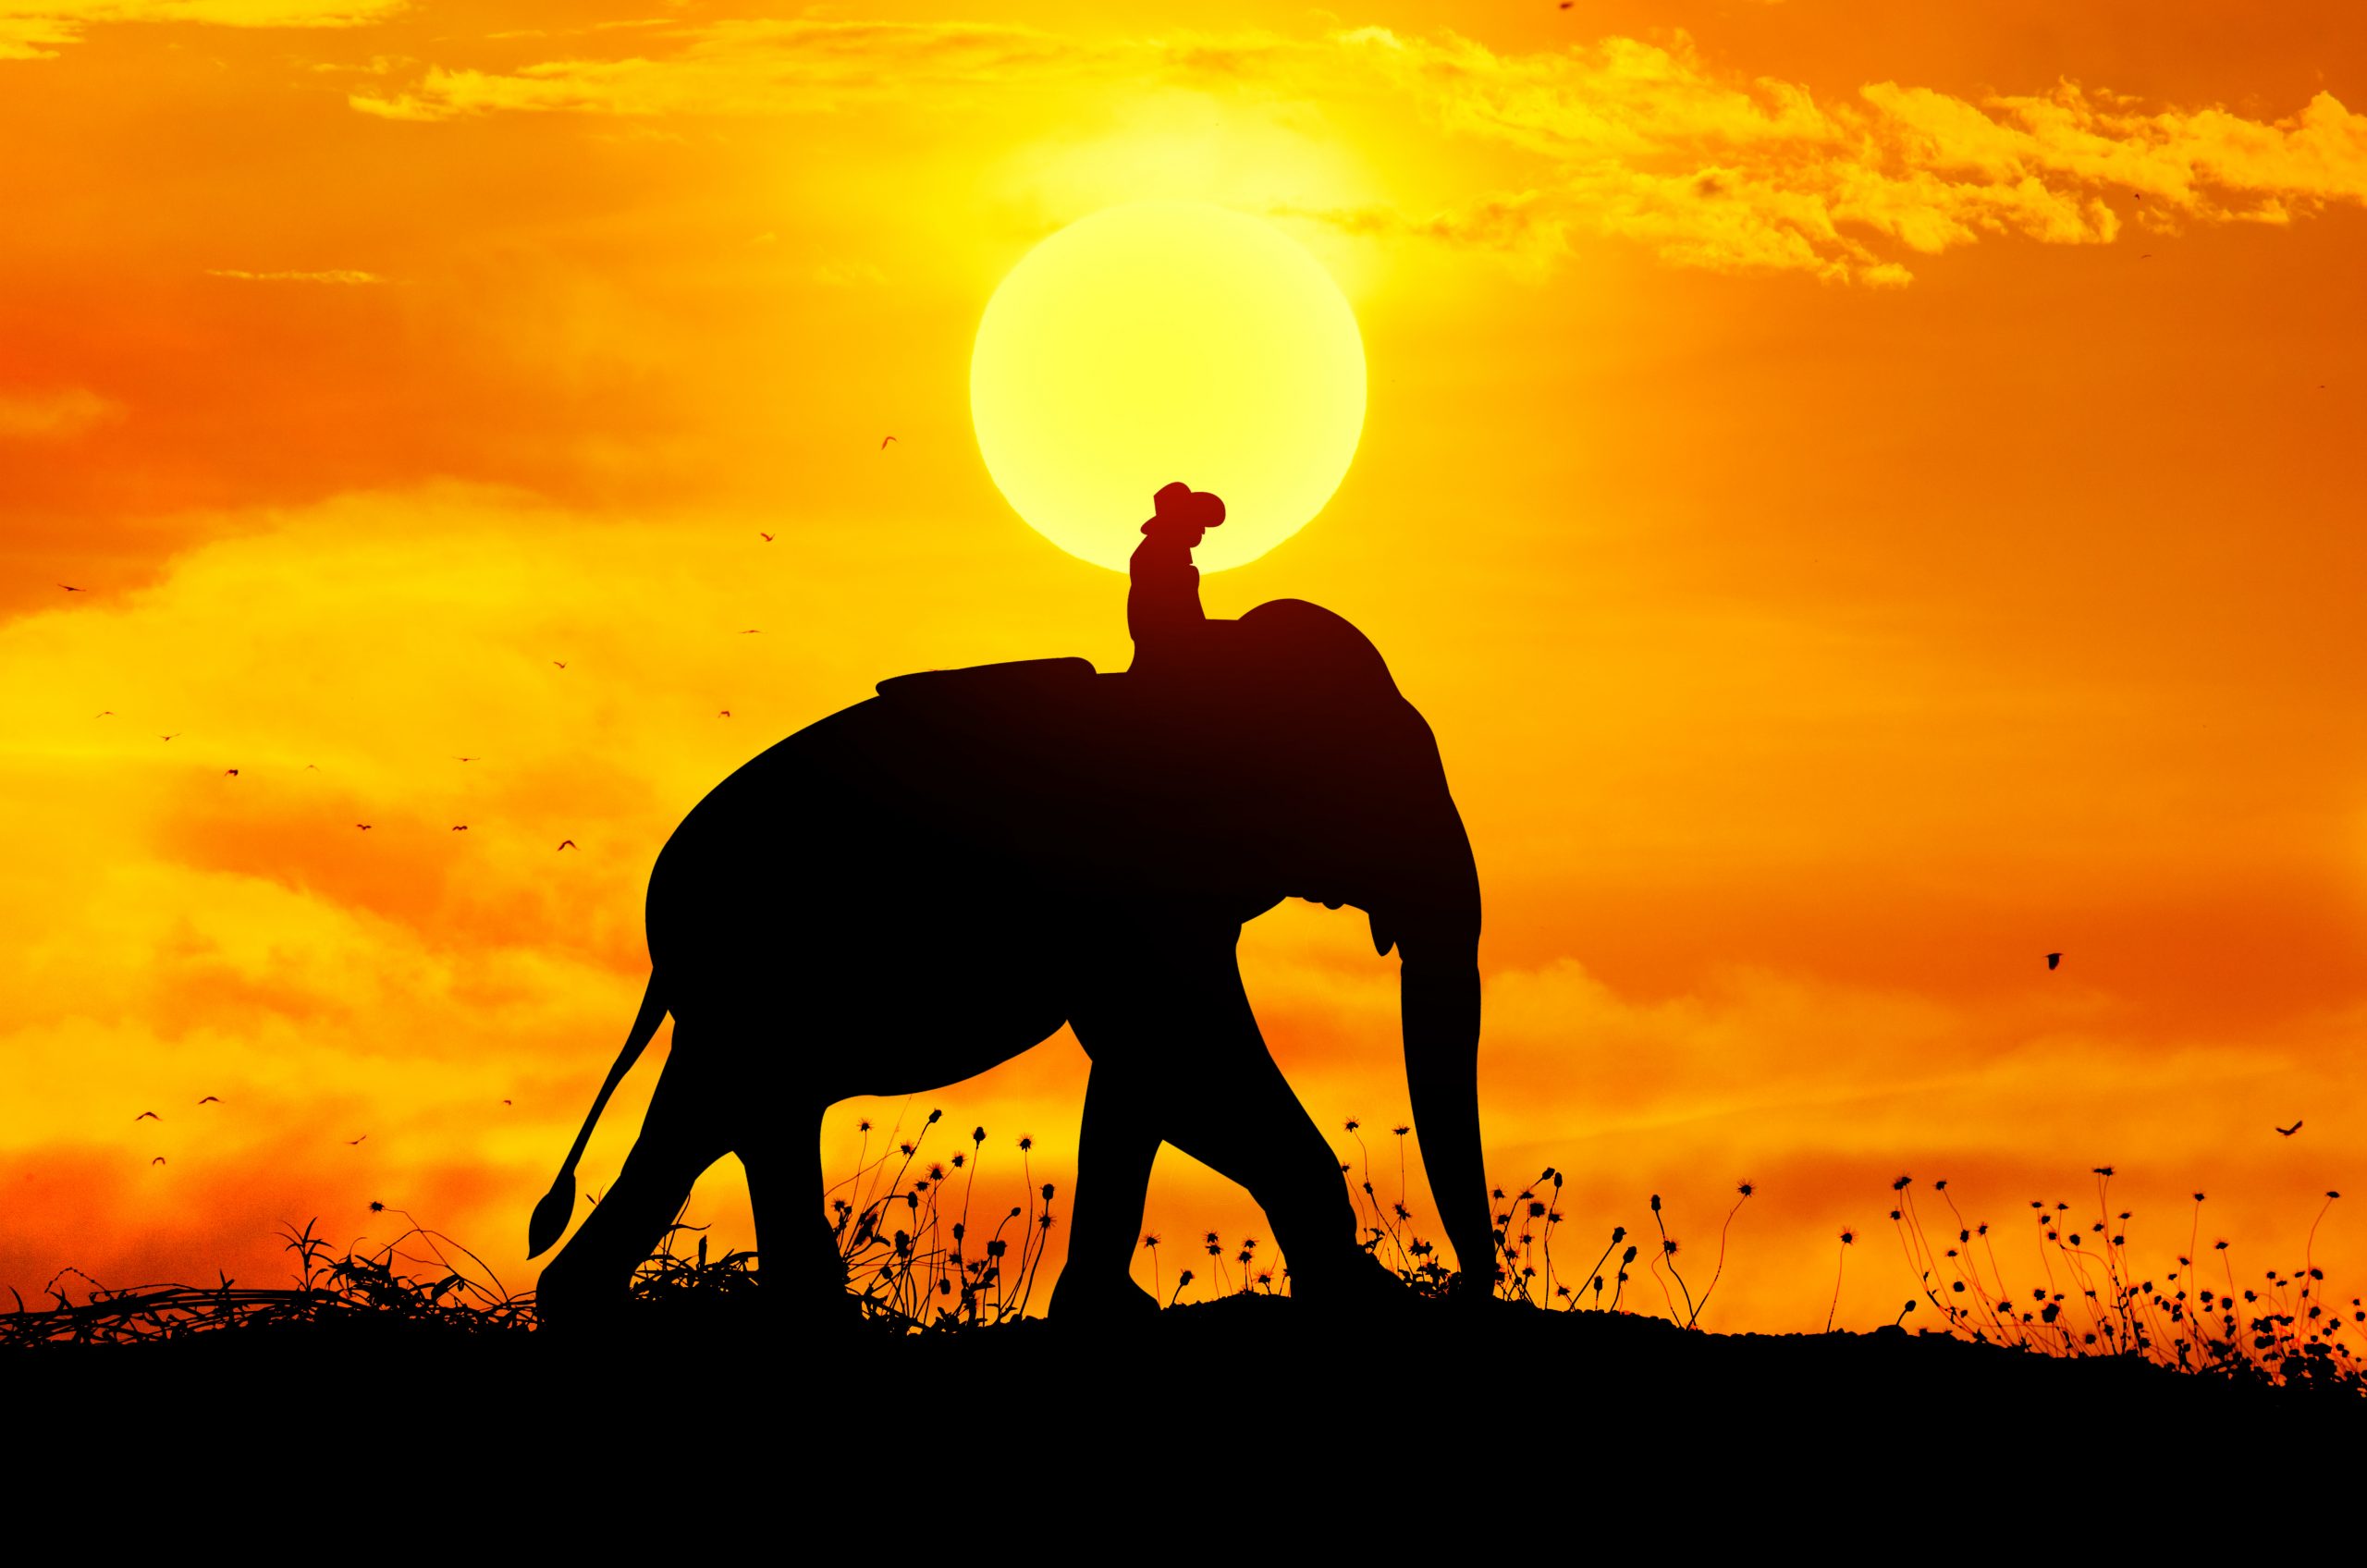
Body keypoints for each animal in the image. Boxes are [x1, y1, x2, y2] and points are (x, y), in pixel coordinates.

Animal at [527, 597, 1489, 1324]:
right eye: (1372, 778)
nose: (1471, 1295)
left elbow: (1142, 1074)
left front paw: (1108, 1314)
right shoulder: (1126, 890)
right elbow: (1178, 1051)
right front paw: (1373, 1301)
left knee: (723, 1120)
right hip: (750, 976)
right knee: (730, 1114)